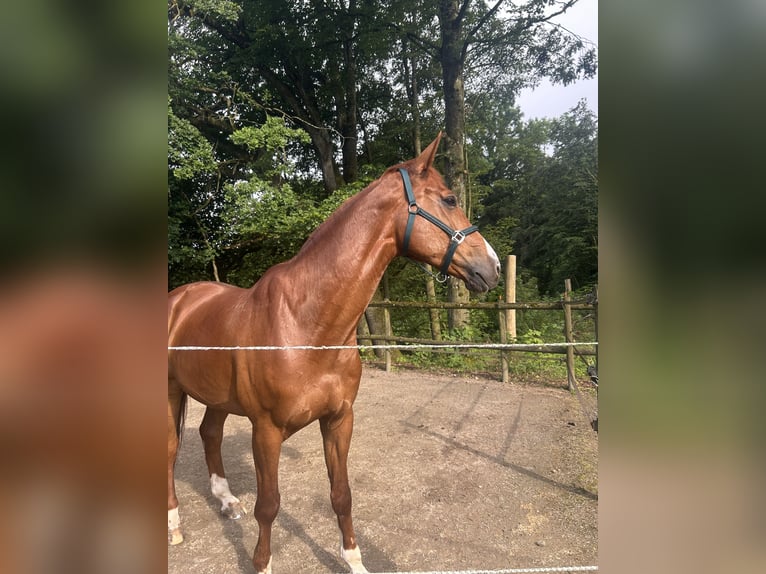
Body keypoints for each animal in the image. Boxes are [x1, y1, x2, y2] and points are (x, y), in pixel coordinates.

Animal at [169, 133, 504, 572]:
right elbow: (269, 505)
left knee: (210, 433)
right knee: (169, 452)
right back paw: (173, 525)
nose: (494, 267)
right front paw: (262, 563)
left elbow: (341, 494)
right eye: (449, 199)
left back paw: (227, 502)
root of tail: (179, 299)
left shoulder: (339, 419)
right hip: (170, 394)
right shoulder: (266, 431)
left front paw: (354, 561)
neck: (305, 324)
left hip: (216, 397)